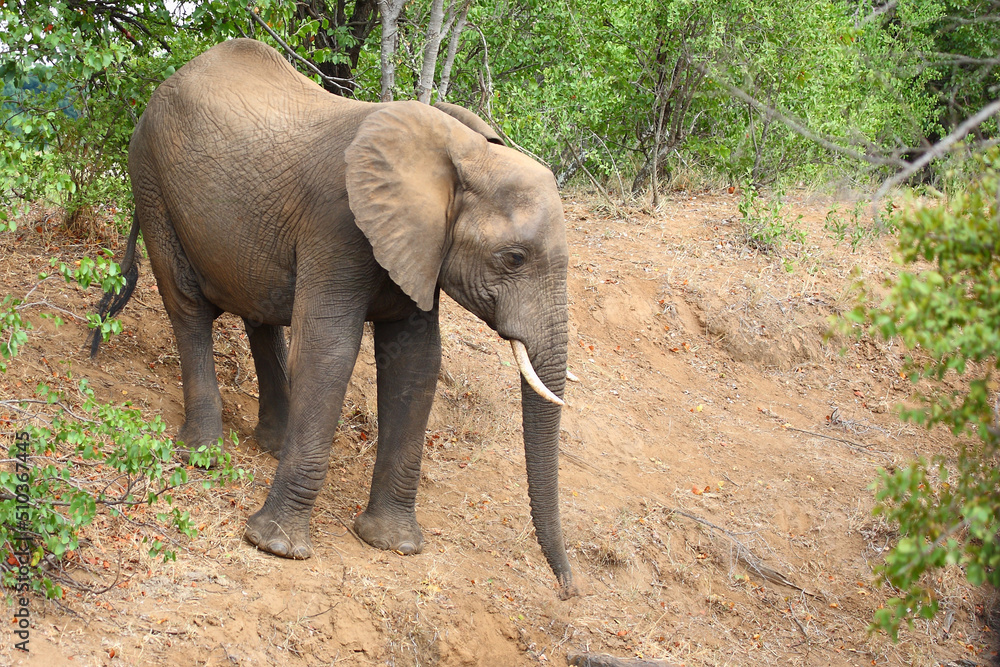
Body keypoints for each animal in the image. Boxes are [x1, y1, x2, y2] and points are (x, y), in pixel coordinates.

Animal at [92, 39, 576, 598]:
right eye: (514, 258)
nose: (568, 586)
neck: (462, 152)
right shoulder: (339, 224)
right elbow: (330, 351)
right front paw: (275, 548)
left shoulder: (417, 248)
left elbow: (416, 363)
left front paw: (392, 545)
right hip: (150, 178)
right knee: (189, 306)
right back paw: (203, 454)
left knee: (260, 310)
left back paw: (273, 445)